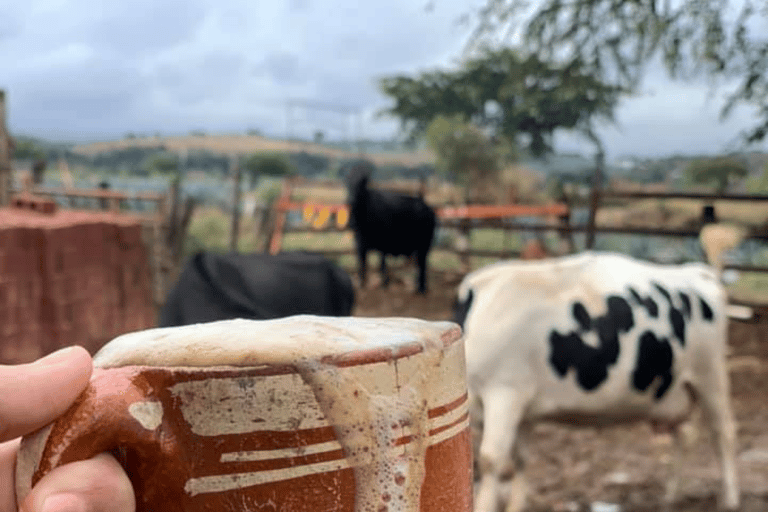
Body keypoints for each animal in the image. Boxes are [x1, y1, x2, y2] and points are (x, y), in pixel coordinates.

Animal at [344, 164, 436, 292]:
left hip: (424, 245)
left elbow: (382, 263)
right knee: (420, 264)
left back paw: (421, 289)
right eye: (348, 181)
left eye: (362, 182)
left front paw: (384, 283)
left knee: (422, 265)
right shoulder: (359, 243)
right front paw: (362, 284)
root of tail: (426, 207)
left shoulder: (384, 243)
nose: (350, 200)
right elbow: (362, 263)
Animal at [456, 252, 736, 512]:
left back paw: (730, 500)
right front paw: (516, 506)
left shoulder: (505, 392)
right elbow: (520, 459)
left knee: (723, 433)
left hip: (710, 375)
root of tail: (696, 271)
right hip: (676, 392)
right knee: (686, 436)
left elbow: (490, 459)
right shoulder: (523, 407)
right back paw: (672, 494)